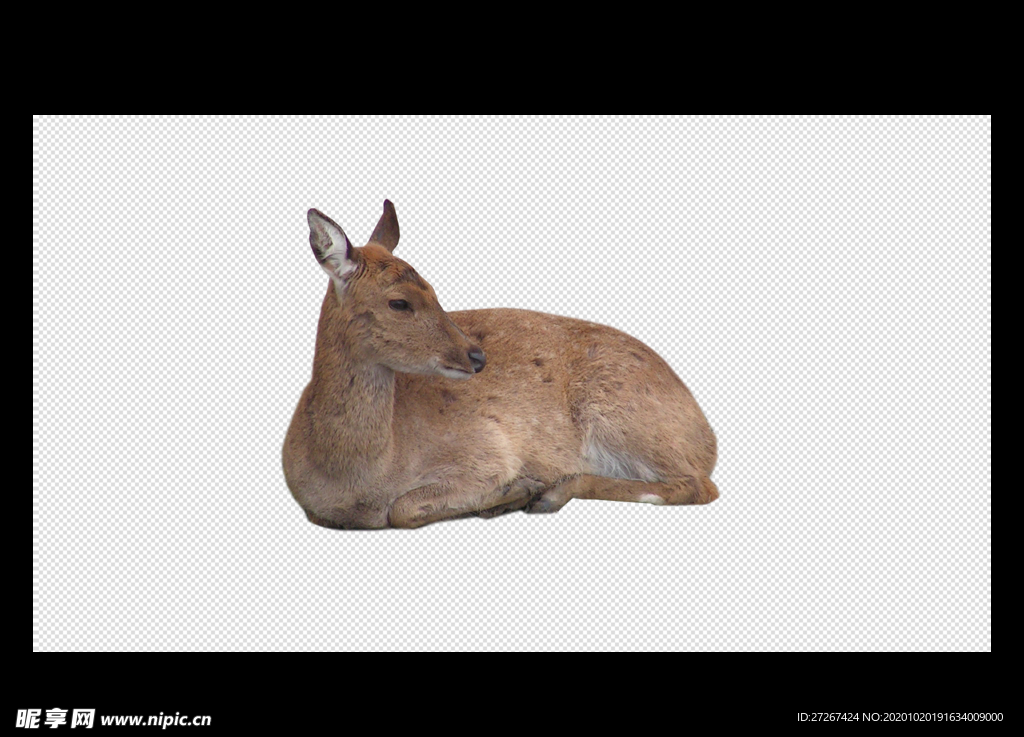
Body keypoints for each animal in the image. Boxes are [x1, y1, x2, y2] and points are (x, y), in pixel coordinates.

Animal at [282, 200, 718, 529]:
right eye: (399, 302)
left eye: (435, 290)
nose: (476, 355)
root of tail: (707, 435)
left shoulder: (487, 449)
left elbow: (403, 508)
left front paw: (513, 491)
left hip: (623, 416)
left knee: (698, 485)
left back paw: (547, 493)